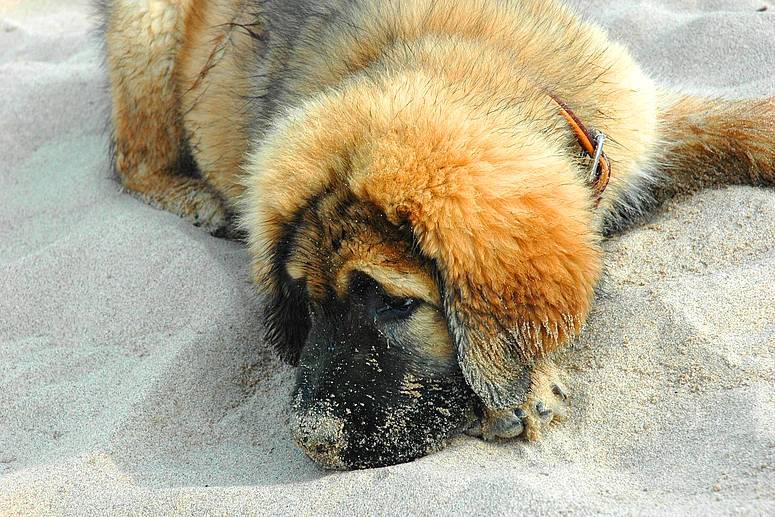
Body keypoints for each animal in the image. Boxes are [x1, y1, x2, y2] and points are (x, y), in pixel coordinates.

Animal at [97, 0, 775, 468]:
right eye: (306, 305)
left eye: (396, 305)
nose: (313, 443)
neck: (475, 56)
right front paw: (527, 387)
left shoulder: (635, 126)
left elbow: (742, 123)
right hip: (146, 31)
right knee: (132, 157)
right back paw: (195, 198)